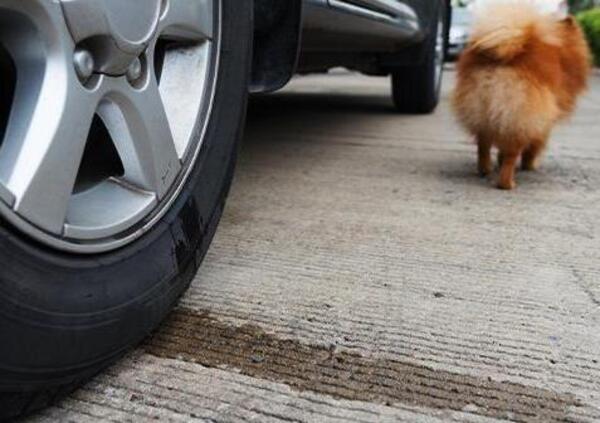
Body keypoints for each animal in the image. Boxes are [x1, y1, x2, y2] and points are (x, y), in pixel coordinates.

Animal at [454, 0, 592, 189]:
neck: (562, 52)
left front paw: (499, 160)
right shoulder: (543, 121)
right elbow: (534, 146)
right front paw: (529, 165)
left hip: (483, 112)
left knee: (483, 145)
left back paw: (485, 170)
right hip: (519, 116)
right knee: (511, 154)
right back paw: (507, 183)